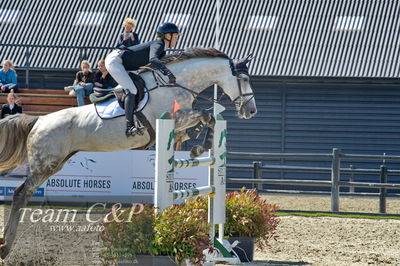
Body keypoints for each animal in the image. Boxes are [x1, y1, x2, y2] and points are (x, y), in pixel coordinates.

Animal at [0, 47, 256, 260]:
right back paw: (6, 246)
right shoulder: (172, 117)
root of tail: (39, 120)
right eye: (243, 79)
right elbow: (205, 115)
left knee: (23, 194)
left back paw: (5, 244)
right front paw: (199, 147)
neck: (176, 83)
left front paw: (197, 145)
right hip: (46, 164)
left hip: (57, 162)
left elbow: (204, 121)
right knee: (20, 194)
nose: (251, 111)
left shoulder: (180, 123)